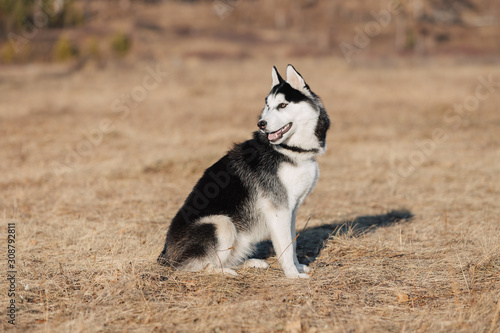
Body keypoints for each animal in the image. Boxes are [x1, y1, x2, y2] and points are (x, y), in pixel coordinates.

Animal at [158, 65, 330, 278]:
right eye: (268, 105)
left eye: (282, 105)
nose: (261, 124)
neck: (289, 151)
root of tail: (165, 254)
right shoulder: (279, 210)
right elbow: (286, 248)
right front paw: (292, 275)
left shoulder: (291, 210)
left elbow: (292, 242)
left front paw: (297, 267)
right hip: (222, 223)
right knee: (196, 266)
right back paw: (225, 272)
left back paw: (251, 263)